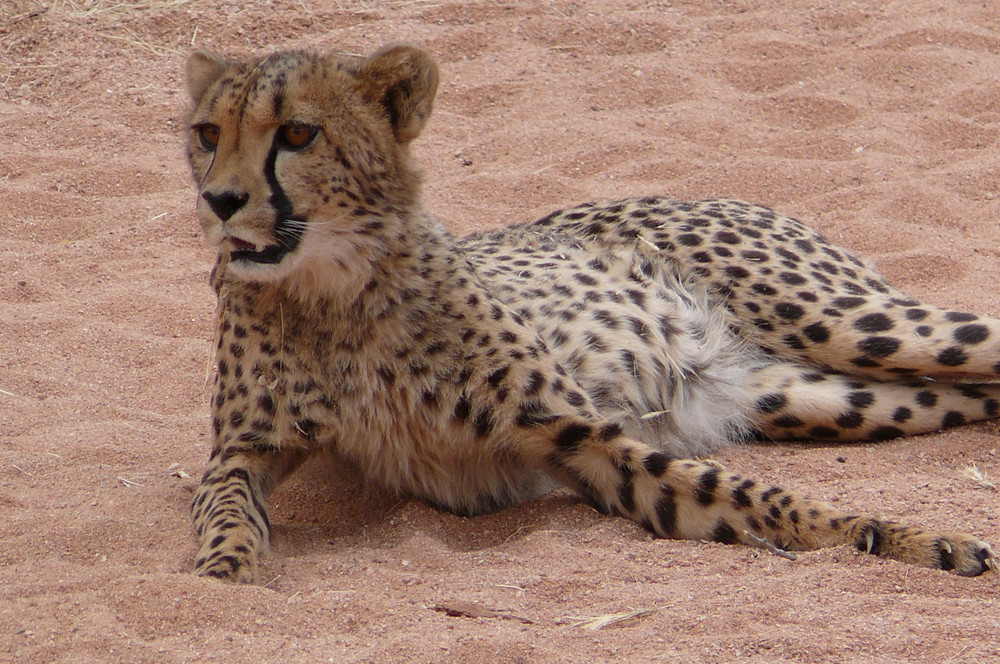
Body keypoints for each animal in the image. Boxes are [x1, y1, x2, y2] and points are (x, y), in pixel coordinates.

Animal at [184, 42, 996, 580]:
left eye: (297, 132)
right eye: (207, 134)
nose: (220, 201)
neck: (333, 294)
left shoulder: (581, 433)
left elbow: (753, 495)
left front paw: (896, 535)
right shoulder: (243, 450)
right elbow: (223, 511)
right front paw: (224, 576)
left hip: (852, 325)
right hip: (816, 396)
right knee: (966, 395)